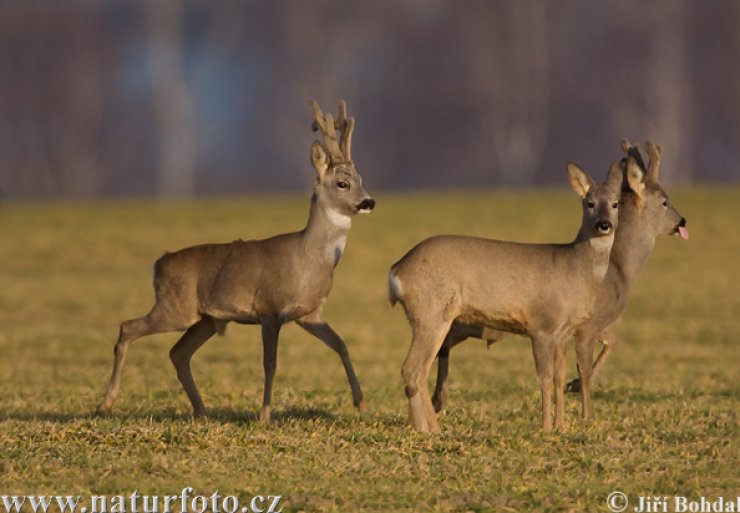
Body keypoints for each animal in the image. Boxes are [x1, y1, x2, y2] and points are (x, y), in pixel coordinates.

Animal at [97, 99, 376, 420]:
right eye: (342, 183)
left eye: (361, 180)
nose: (368, 201)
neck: (308, 260)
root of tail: (159, 264)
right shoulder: (269, 309)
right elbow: (270, 363)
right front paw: (264, 415)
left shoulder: (309, 312)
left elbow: (342, 345)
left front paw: (362, 404)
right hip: (176, 308)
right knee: (128, 327)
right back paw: (105, 403)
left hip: (205, 319)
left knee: (178, 352)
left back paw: (203, 411)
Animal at [388, 161, 624, 432]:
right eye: (590, 203)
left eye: (616, 203)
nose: (604, 224)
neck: (575, 268)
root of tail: (397, 269)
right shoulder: (542, 326)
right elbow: (544, 378)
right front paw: (546, 427)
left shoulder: (563, 333)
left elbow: (559, 377)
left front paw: (561, 425)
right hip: (431, 314)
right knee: (412, 369)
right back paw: (431, 430)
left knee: (418, 370)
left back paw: (428, 428)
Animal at [428, 140, 688, 420]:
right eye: (665, 201)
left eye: (615, 203)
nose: (682, 221)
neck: (620, 270)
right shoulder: (589, 323)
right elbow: (588, 366)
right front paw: (585, 413)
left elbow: (608, 345)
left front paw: (571, 388)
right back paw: (437, 399)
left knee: (442, 346)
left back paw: (436, 399)